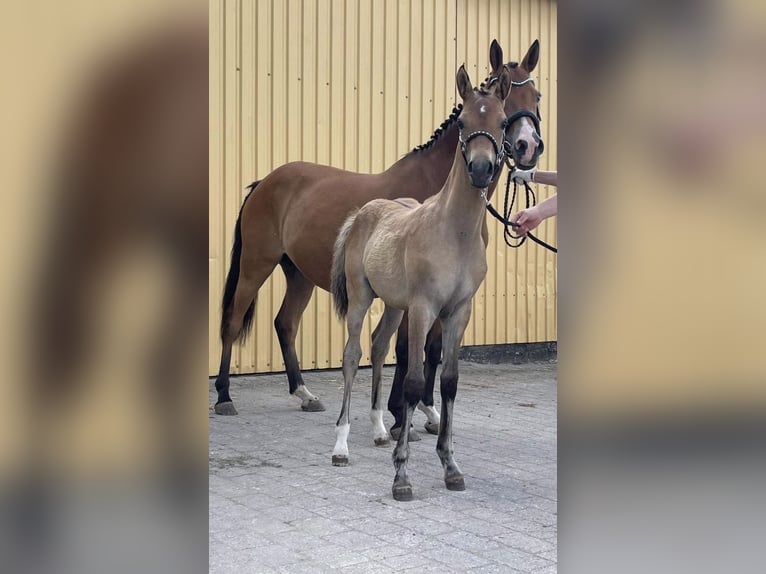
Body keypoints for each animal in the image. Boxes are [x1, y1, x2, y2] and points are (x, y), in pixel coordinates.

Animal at [213, 38, 544, 426]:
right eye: (505, 105)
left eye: (536, 95)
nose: (527, 147)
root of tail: (264, 181)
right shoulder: (413, 293)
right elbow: (403, 348)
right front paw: (400, 413)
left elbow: (432, 348)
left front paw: (428, 411)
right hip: (256, 263)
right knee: (233, 320)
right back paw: (224, 395)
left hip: (298, 273)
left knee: (286, 324)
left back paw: (304, 392)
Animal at [328, 65, 512, 502]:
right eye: (462, 122)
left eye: (501, 121)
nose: (481, 170)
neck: (454, 232)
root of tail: (362, 212)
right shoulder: (425, 308)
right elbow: (413, 381)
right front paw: (401, 474)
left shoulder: (458, 312)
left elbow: (448, 382)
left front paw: (450, 466)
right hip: (362, 298)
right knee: (352, 355)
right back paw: (341, 445)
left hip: (395, 306)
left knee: (378, 346)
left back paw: (379, 430)